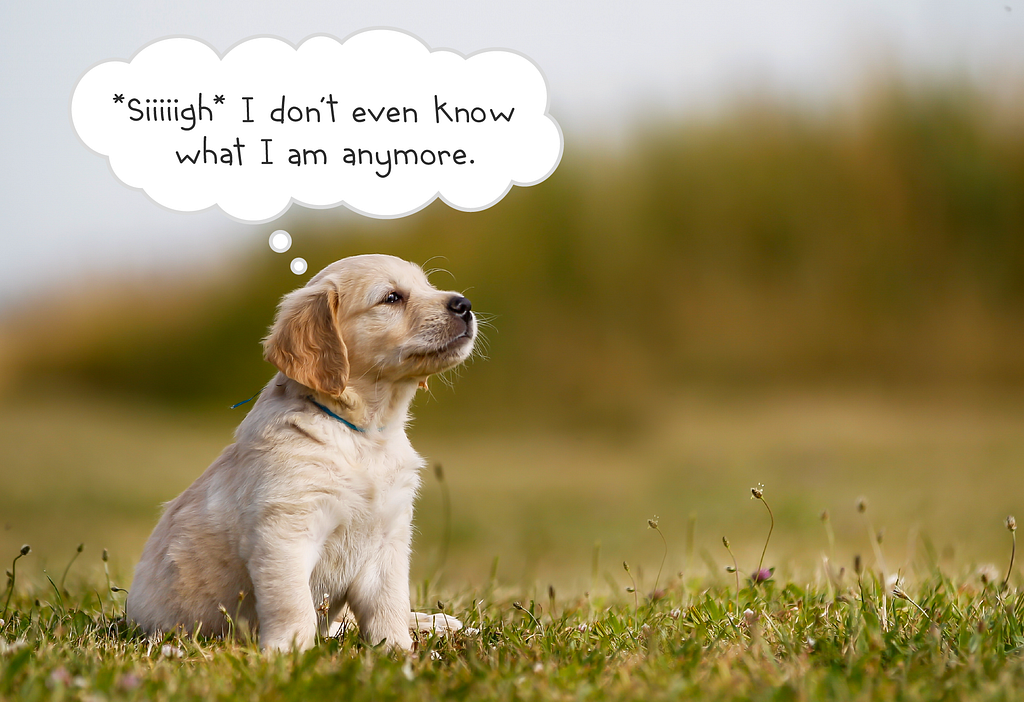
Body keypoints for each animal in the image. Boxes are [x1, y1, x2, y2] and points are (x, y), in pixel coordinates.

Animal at [126, 254, 475, 654]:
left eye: (428, 286)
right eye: (391, 297)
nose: (464, 305)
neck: (363, 435)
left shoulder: (388, 537)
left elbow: (389, 604)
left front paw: (397, 651)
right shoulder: (286, 532)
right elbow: (293, 604)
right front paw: (288, 652)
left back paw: (440, 623)